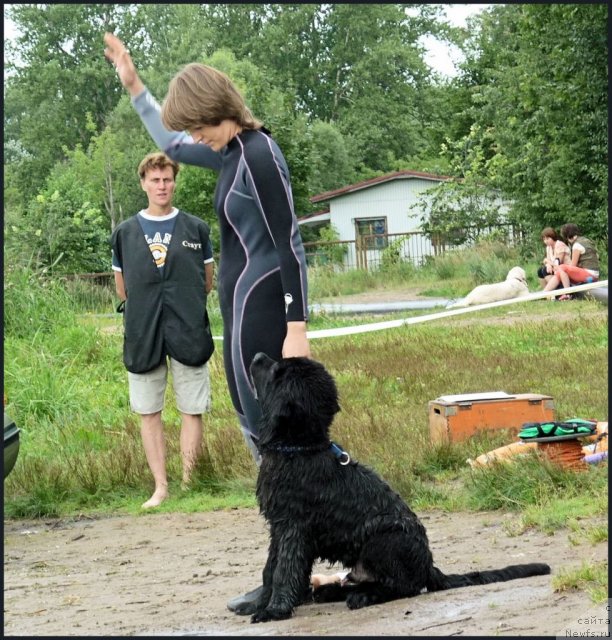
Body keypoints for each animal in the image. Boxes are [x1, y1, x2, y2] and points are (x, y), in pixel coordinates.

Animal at [238, 352, 548, 624]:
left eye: (277, 372)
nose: (257, 357)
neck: (298, 449)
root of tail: (428, 567)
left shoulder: (294, 528)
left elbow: (284, 572)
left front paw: (274, 610)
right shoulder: (278, 527)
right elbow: (270, 570)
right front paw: (259, 604)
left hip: (383, 539)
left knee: (403, 586)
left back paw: (361, 597)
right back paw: (332, 590)